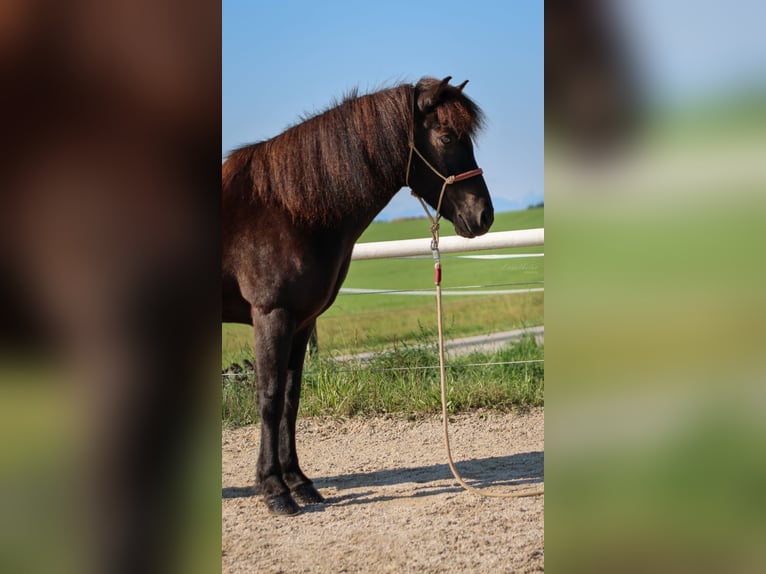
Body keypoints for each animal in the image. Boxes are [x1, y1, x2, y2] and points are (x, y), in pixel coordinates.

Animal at [225, 76, 496, 516]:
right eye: (445, 136)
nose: (483, 215)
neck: (286, 208)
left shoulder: (301, 322)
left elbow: (290, 399)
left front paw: (299, 482)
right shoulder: (271, 316)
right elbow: (268, 397)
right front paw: (274, 489)